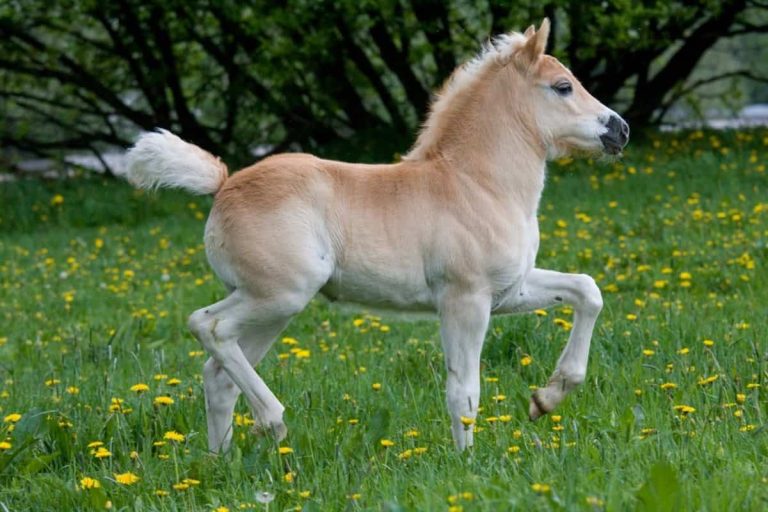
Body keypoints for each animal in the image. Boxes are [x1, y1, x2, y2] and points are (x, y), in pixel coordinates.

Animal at [124, 19, 629, 452]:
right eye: (562, 87)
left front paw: (547, 399)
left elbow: (587, 291)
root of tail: (224, 184)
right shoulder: (465, 299)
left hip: (271, 309)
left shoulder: (509, 291)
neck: (477, 183)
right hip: (279, 295)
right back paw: (272, 421)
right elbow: (464, 390)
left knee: (218, 373)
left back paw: (223, 462)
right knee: (207, 326)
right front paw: (466, 464)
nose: (620, 129)